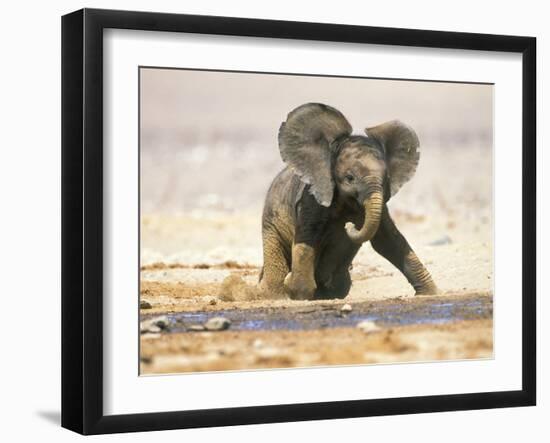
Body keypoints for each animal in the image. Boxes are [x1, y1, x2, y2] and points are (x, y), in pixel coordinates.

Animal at [260, 102, 440, 300]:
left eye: (385, 179)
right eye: (349, 178)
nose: (350, 225)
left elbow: (388, 241)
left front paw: (431, 294)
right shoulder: (312, 198)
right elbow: (307, 238)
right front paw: (298, 292)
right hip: (270, 224)